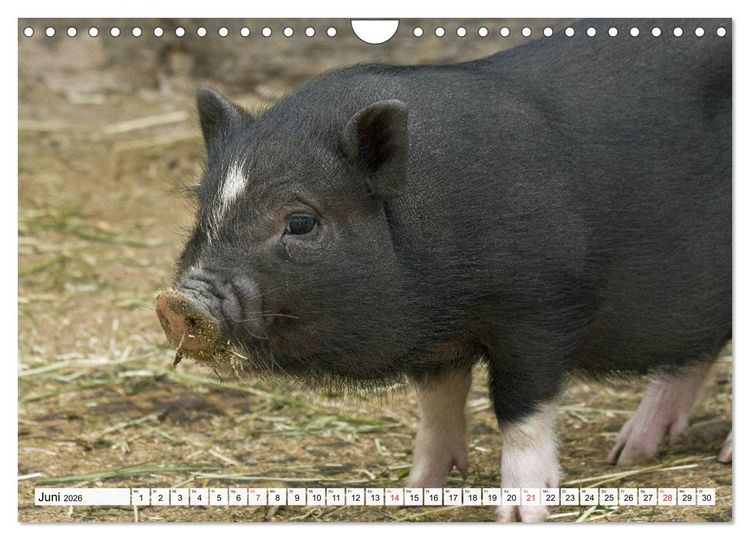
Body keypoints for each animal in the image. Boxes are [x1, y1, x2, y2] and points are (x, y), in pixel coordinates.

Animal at [156, 18, 731, 522]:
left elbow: (519, 408)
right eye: (203, 208)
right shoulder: (437, 339)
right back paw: (629, 453)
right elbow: (435, 405)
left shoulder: (540, 309)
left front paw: (520, 514)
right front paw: (411, 495)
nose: (177, 302)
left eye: (300, 221)